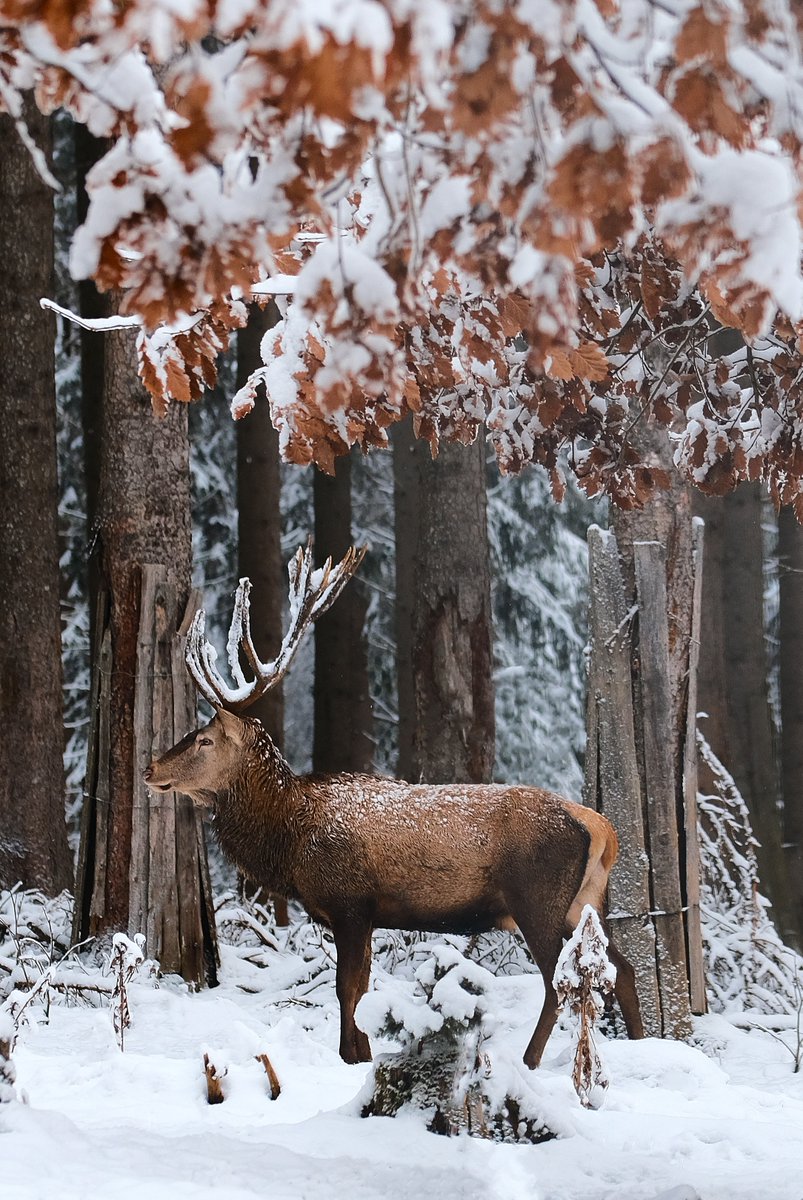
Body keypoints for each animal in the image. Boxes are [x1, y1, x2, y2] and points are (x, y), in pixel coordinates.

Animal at [144, 542, 644, 1067]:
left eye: (204, 739)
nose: (150, 769)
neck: (291, 839)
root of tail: (601, 828)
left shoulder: (349, 901)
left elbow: (347, 991)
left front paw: (350, 1057)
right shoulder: (365, 913)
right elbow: (362, 987)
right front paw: (363, 1053)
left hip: (537, 898)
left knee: (558, 982)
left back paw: (528, 1060)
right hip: (583, 902)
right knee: (622, 969)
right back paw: (645, 1044)